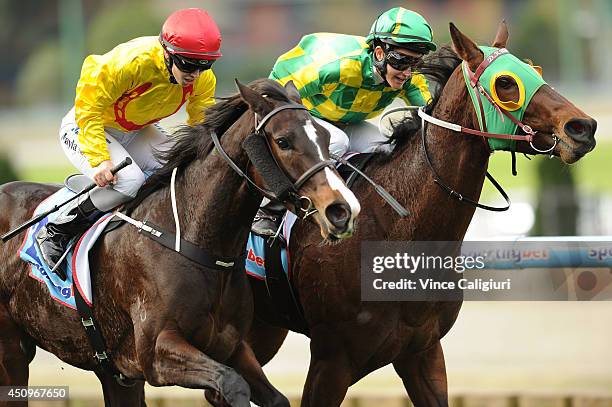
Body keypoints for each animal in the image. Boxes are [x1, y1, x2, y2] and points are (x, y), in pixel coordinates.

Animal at [0, 79, 358, 407]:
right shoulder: (156, 353)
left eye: (326, 138)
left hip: (113, 374)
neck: (194, 240)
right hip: (12, 352)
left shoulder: (231, 345)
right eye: (283, 141)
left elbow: (274, 397)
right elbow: (231, 384)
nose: (341, 209)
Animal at [245, 23, 596, 407]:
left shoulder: (422, 351)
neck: (397, 227)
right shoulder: (332, 359)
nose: (584, 127)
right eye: (506, 83)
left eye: (536, 71)